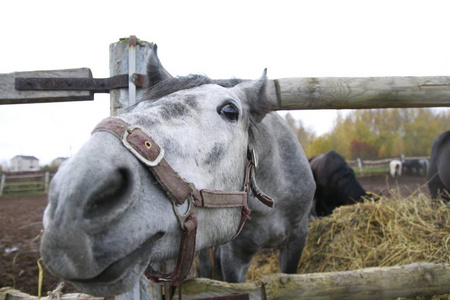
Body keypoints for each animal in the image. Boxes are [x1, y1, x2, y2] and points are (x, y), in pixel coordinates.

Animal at [39, 45, 316, 296]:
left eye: (230, 110)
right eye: (136, 108)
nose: (70, 202)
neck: (270, 201)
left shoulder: (297, 238)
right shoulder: (234, 255)